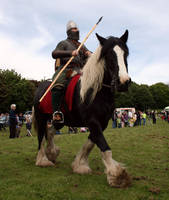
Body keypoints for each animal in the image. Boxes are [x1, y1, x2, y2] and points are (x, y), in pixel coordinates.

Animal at [32, 29, 131, 188]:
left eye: (125, 53)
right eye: (109, 55)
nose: (123, 82)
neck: (96, 91)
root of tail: (39, 88)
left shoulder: (102, 123)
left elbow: (91, 143)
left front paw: (79, 165)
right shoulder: (93, 121)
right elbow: (104, 146)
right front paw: (117, 175)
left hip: (59, 120)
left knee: (50, 132)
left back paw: (52, 152)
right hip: (41, 118)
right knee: (41, 136)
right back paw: (42, 160)